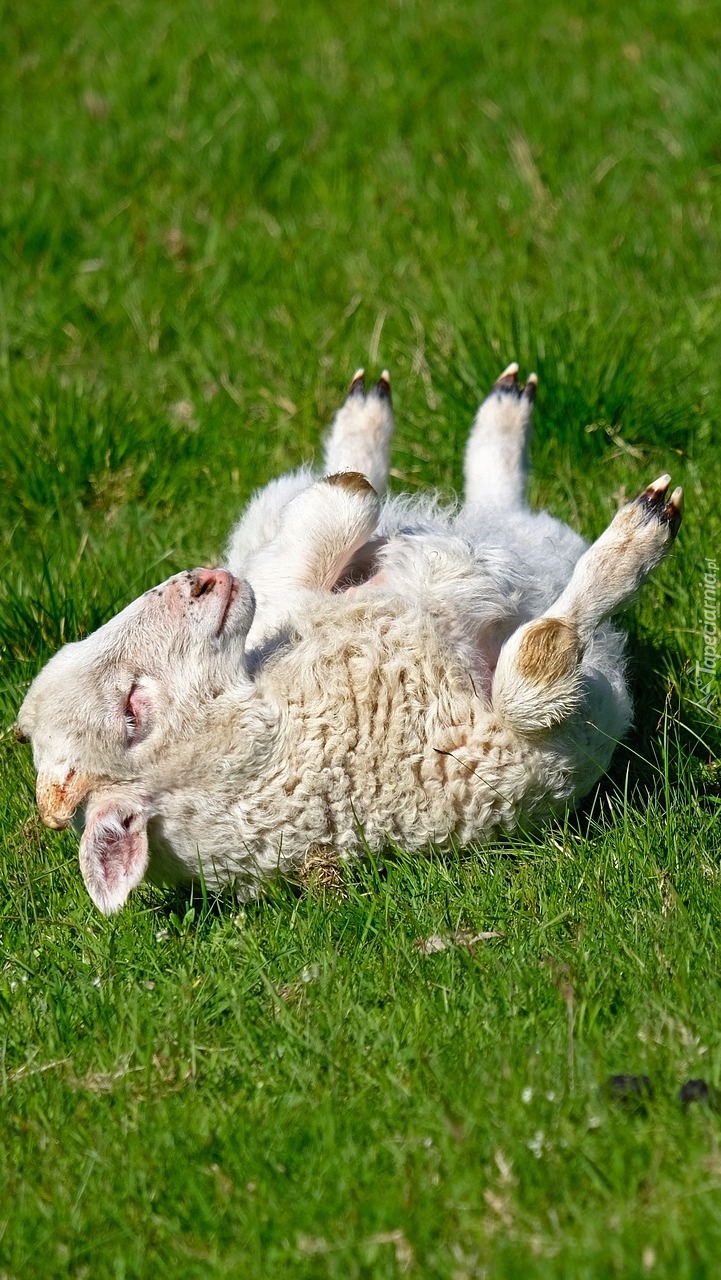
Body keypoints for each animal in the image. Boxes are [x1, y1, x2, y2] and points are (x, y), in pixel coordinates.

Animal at [15, 366, 681, 916]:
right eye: (132, 711)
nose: (204, 580)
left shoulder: (280, 601)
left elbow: (319, 531)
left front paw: (352, 478)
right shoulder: (516, 745)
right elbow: (536, 667)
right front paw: (635, 546)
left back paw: (407, 414)